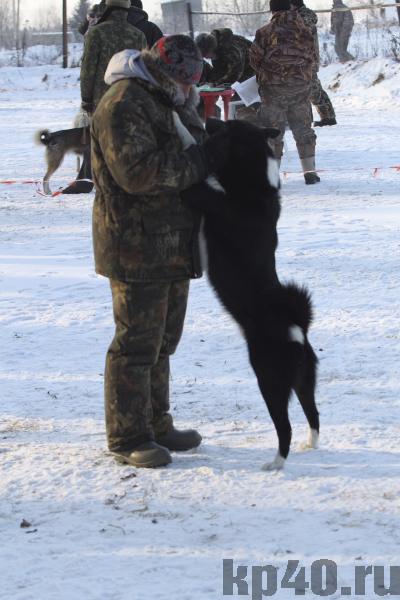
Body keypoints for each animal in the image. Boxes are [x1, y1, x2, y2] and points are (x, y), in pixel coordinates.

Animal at [181, 118, 319, 470]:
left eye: (228, 125)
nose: (208, 118)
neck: (254, 184)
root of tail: (297, 330)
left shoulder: (205, 196)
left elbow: (196, 183)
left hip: (269, 379)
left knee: (284, 426)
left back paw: (276, 463)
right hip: (304, 381)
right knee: (313, 415)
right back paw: (310, 445)